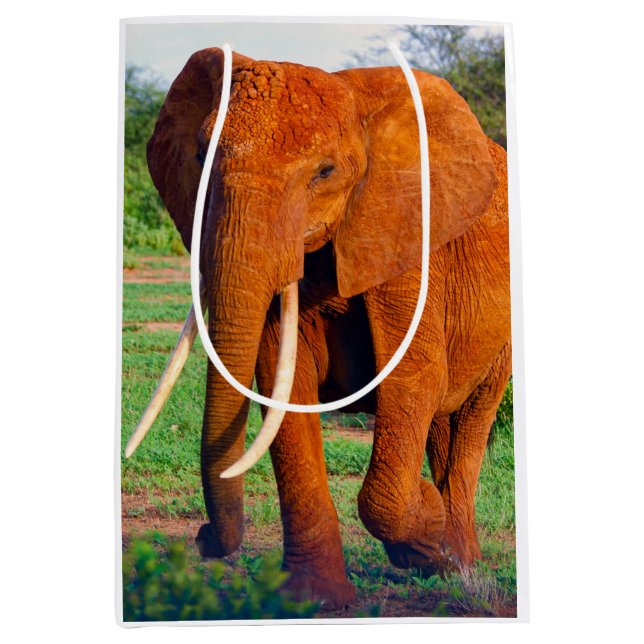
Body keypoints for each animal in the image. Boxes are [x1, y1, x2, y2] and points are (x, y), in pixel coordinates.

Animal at [132, 47, 512, 609]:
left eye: (325, 172)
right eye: (200, 157)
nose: (201, 540)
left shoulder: (408, 243)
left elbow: (414, 379)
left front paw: (424, 530)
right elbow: (282, 386)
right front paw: (314, 602)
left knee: (470, 418)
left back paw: (457, 565)